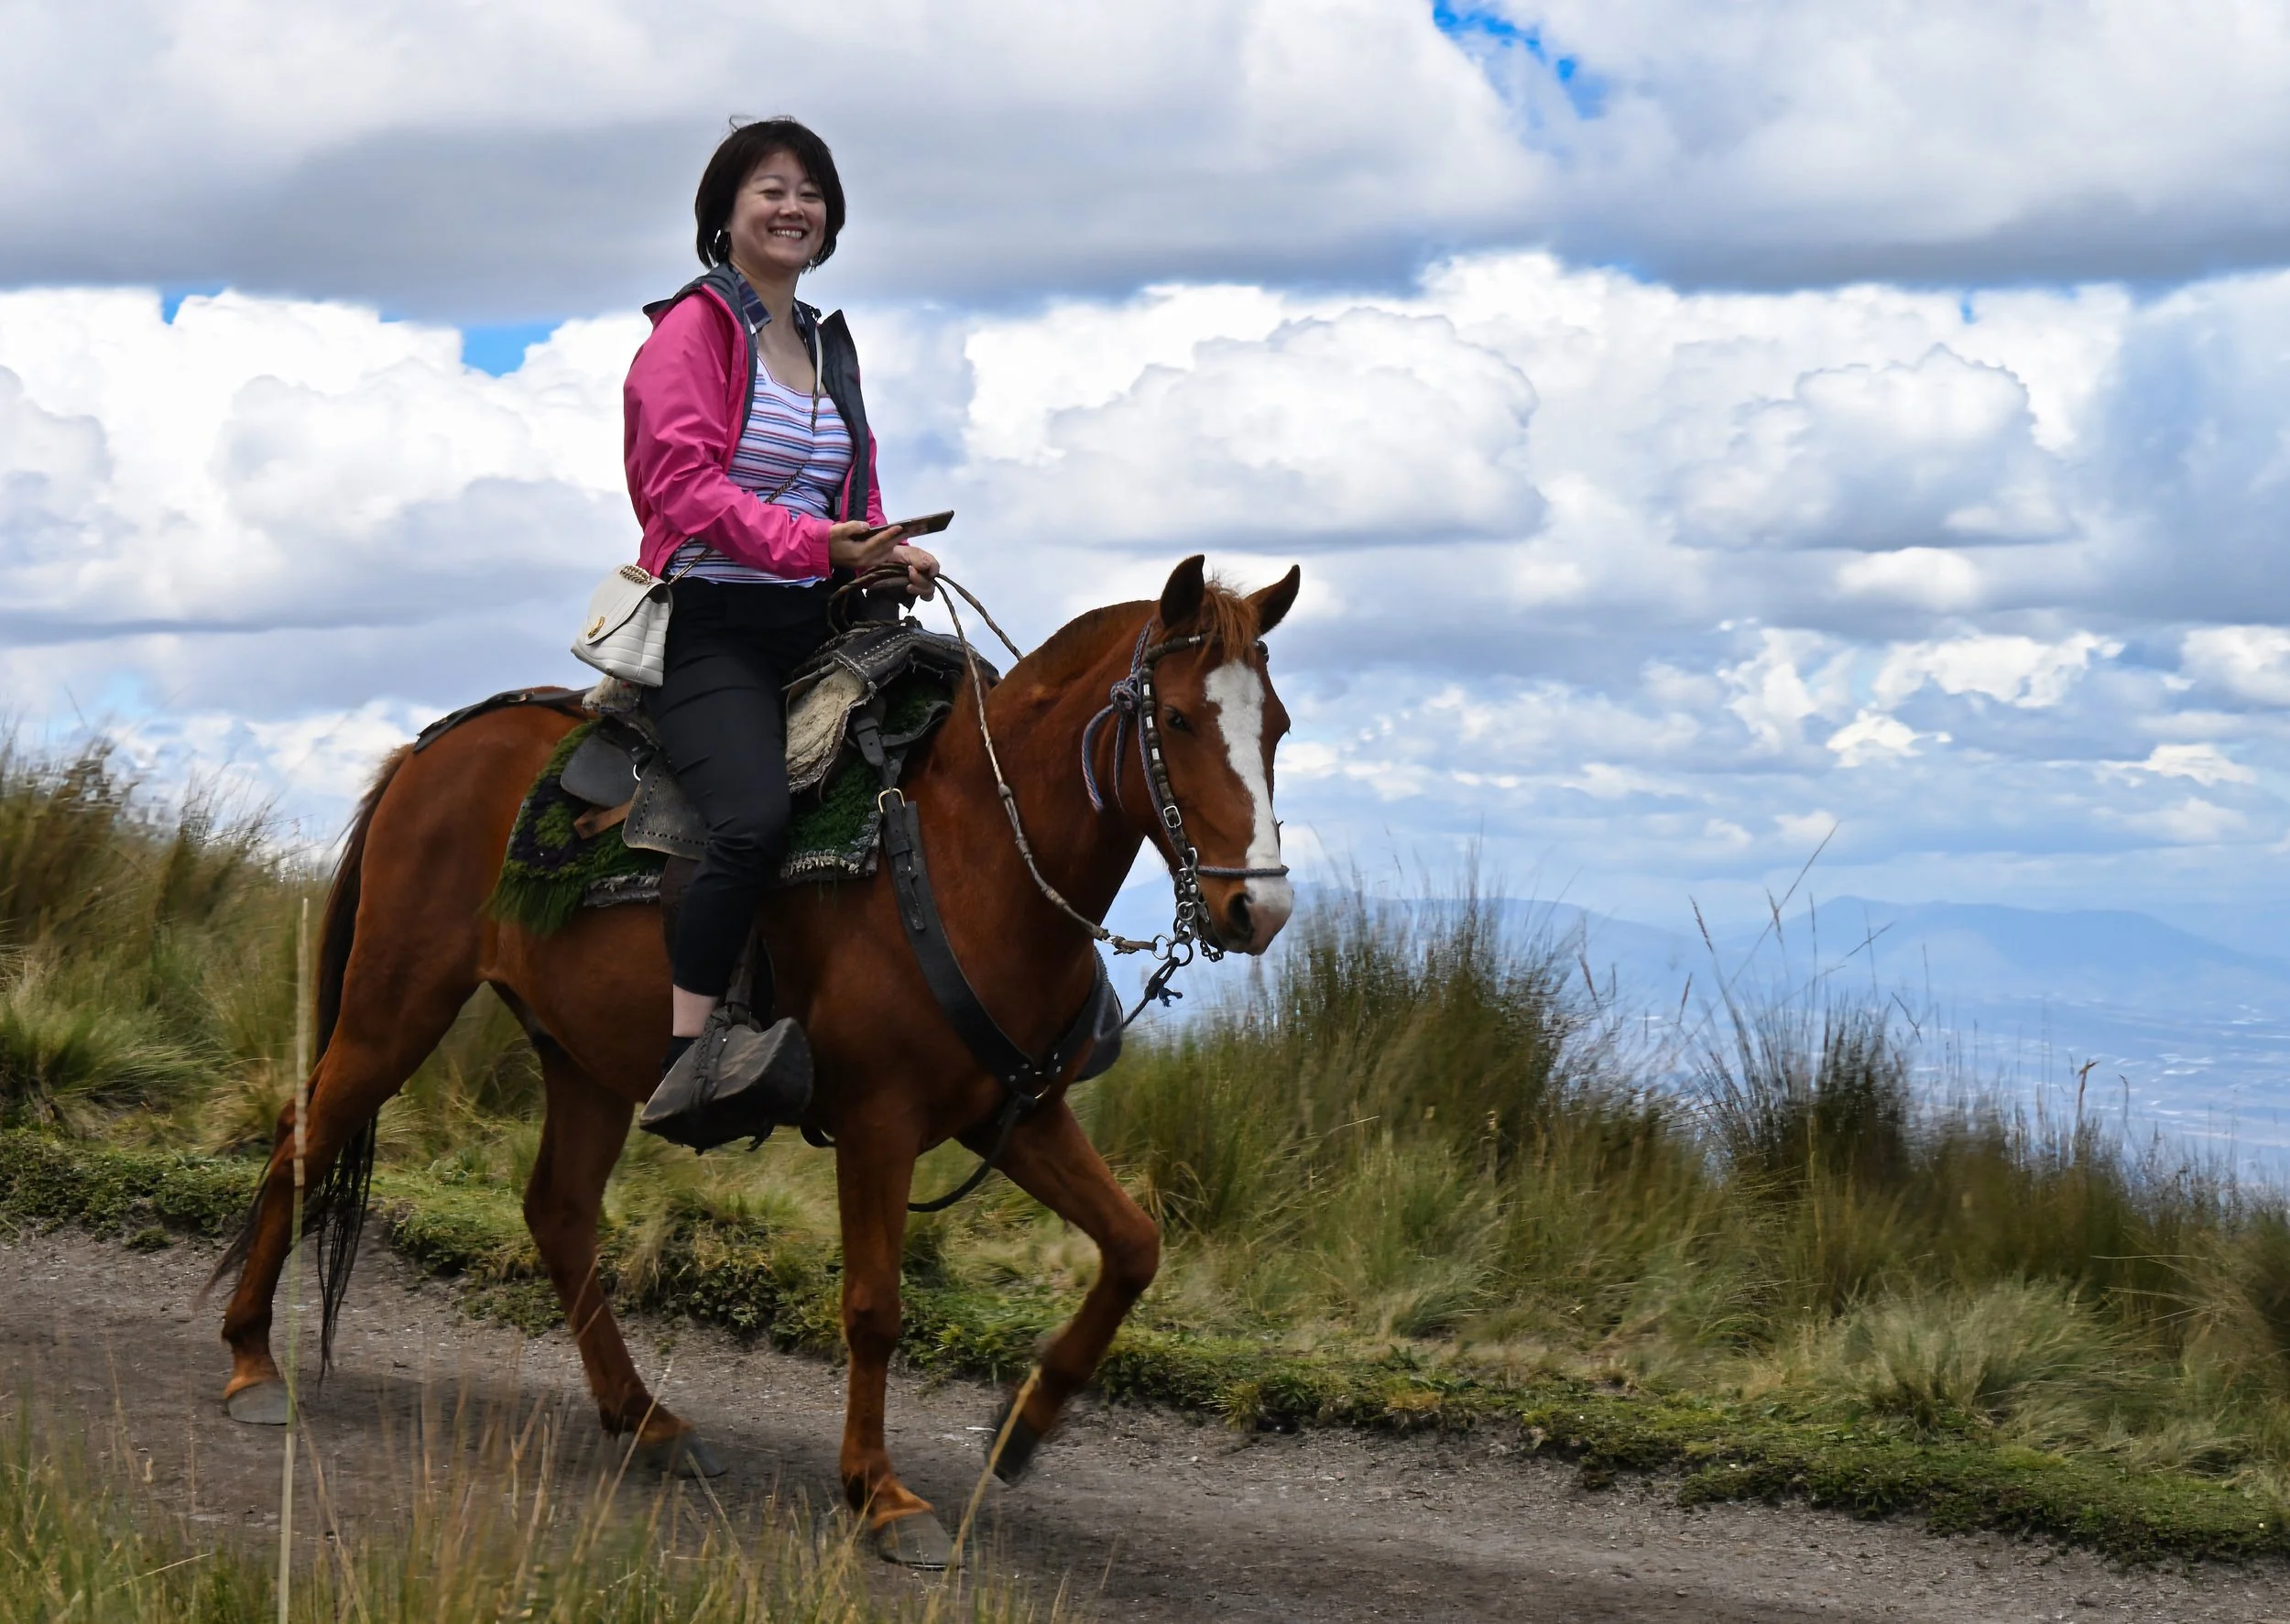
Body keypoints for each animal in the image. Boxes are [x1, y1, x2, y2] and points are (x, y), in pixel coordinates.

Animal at [210, 554, 1302, 1563]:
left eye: (1278, 727)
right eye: (1178, 719)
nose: (1258, 910)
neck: (972, 852)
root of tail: (431, 748)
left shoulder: (1020, 1114)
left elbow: (1133, 1246)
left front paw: (1024, 1424)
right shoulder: (878, 1122)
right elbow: (874, 1306)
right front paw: (881, 1494)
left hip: (582, 1058)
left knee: (557, 1213)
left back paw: (646, 1420)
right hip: (398, 1005)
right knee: (306, 1137)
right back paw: (252, 1363)